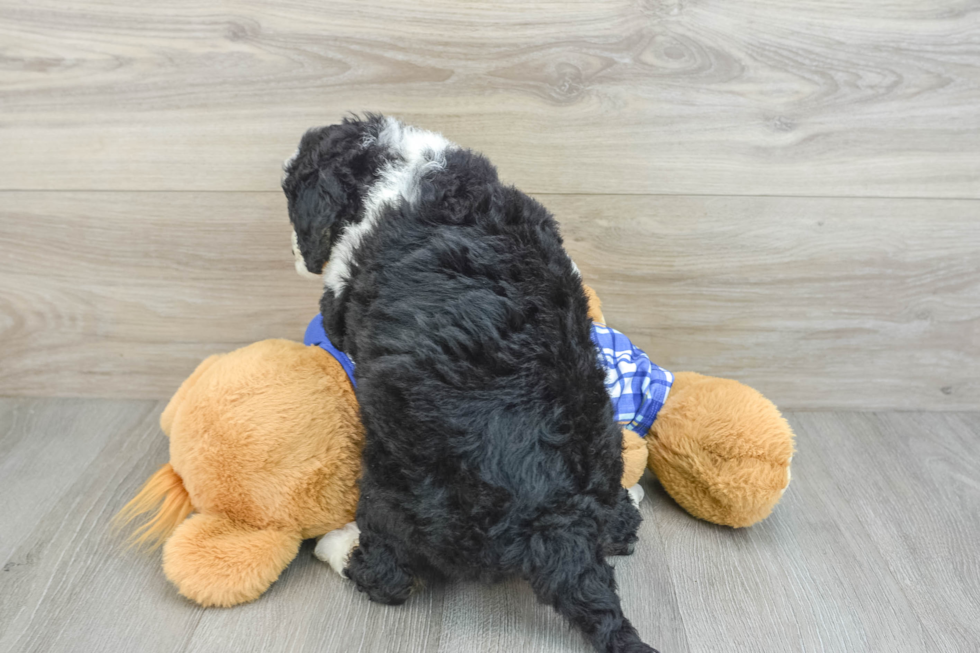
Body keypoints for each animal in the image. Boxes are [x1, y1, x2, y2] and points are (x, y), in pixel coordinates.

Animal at [280, 114, 656, 648]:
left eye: (293, 200)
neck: (395, 165)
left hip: (395, 487)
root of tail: (562, 531)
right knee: (620, 523)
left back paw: (340, 544)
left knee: (390, 575)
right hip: (603, 444)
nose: (294, 252)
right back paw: (627, 505)